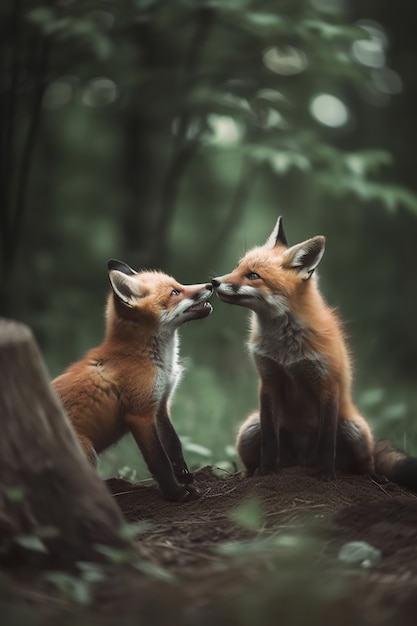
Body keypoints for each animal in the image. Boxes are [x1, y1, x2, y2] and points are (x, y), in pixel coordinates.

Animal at [53, 260, 213, 502]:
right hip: (87, 453)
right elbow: (159, 461)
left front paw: (185, 477)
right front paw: (176, 493)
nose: (211, 284)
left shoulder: (160, 405)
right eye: (175, 292)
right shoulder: (140, 415)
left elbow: (174, 445)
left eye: (178, 284)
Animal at [213, 217, 416, 490]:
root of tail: (301, 461)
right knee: (254, 456)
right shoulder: (269, 380)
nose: (213, 282)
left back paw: (372, 477)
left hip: (355, 430)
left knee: (366, 462)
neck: (286, 351)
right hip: (249, 430)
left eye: (253, 276)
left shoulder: (326, 384)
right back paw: (251, 473)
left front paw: (326, 474)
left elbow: (327, 440)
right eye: (237, 267)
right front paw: (268, 471)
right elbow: (270, 440)